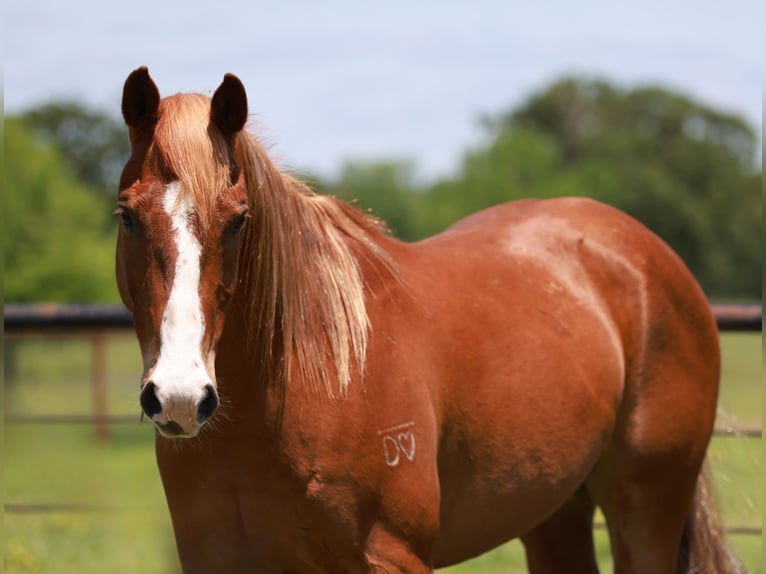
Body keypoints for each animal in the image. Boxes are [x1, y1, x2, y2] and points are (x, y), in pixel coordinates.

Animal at [116, 67, 739, 573]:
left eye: (239, 220)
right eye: (126, 216)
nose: (179, 396)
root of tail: (649, 254)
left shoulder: (392, 558)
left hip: (647, 502)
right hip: (555, 508)